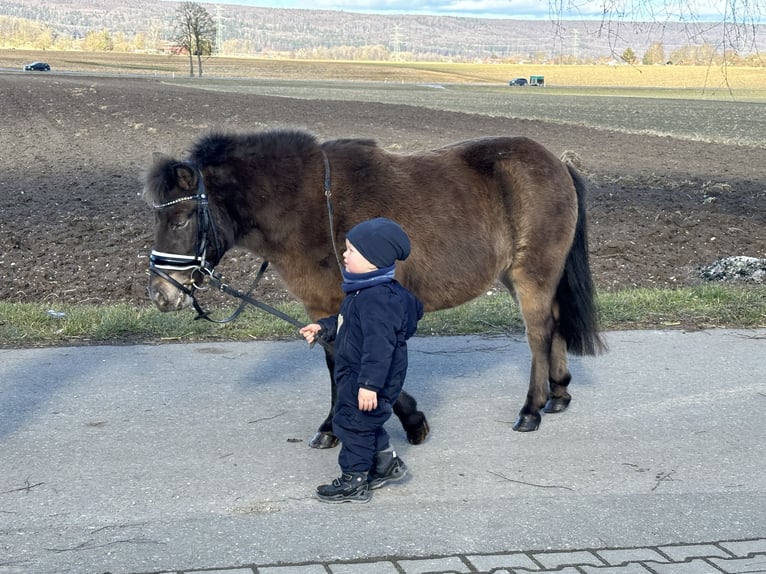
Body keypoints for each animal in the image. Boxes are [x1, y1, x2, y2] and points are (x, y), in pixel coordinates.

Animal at [141, 129, 604, 446]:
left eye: (180, 219)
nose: (161, 294)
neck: (314, 205)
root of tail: (557, 163)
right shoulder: (323, 309)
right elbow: (334, 363)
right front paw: (331, 428)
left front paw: (412, 422)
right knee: (554, 324)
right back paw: (559, 393)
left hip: (533, 274)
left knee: (539, 333)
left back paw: (531, 409)